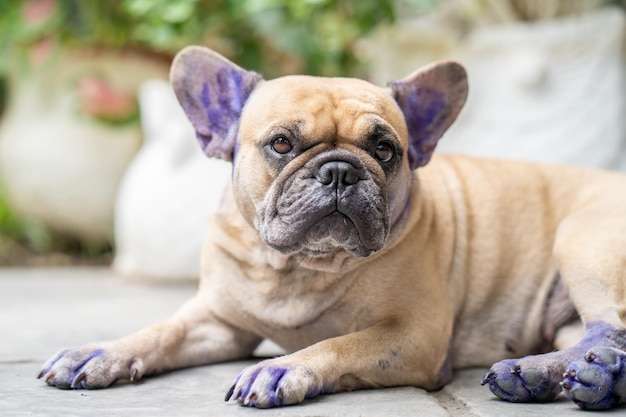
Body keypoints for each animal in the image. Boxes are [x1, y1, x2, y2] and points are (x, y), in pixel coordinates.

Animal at [37, 45, 624, 410]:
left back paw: (586, 379)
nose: (340, 170)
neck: (298, 268)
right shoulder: (218, 321)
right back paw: (541, 376)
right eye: (281, 144)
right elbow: (163, 330)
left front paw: (283, 369)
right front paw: (102, 351)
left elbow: (343, 344)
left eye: (385, 150)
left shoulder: (412, 334)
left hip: (581, 240)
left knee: (610, 332)